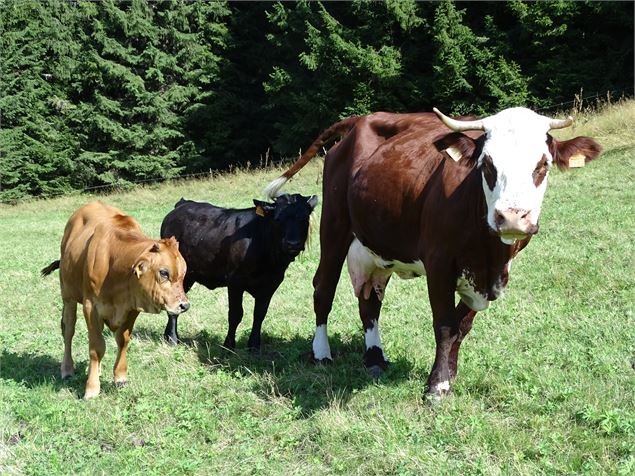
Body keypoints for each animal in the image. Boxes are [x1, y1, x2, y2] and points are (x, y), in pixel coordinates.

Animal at [42, 201, 189, 398]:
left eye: (183, 273)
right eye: (164, 272)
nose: (184, 305)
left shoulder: (131, 308)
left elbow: (123, 340)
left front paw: (120, 377)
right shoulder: (91, 307)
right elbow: (96, 347)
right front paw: (91, 388)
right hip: (68, 295)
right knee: (68, 330)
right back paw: (67, 369)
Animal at [266, 107, 604, 398]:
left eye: (543, 164)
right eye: (487, 164)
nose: (512, 217)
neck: (489, 254)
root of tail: (363, 119)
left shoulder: (492, 276)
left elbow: (462, 326)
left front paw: (450, 374)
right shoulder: (439, 263)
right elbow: (444, 324)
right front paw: (437, 385)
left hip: (378, 246)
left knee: (370, 301)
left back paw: (375, 357)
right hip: (334, 228)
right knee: (323, 288)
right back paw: (321, 353)